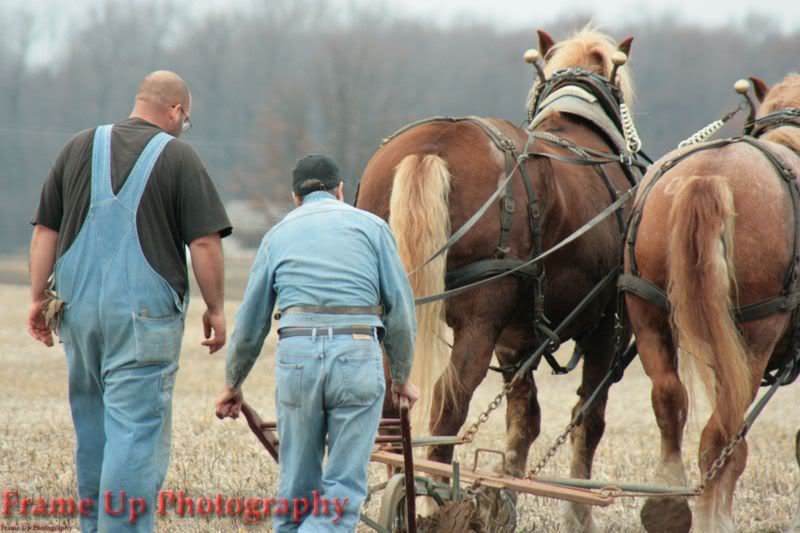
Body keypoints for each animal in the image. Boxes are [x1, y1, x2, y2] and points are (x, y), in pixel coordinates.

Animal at [356, 26, 636, 528]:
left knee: (392, 398)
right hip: (481, 318)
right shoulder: (606, 327)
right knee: (449, 399)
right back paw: (431, 501)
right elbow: (587, 419)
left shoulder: (515, 340)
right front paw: (578, 514)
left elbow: (524, 420)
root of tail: (433, 147)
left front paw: (506, 497)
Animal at [620, 71, 800, 532]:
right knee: (722, 433)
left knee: (670, 401)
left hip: (648, 313)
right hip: (754, 337)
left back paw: (667, 505)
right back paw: (711, 516)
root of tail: (708, 176)